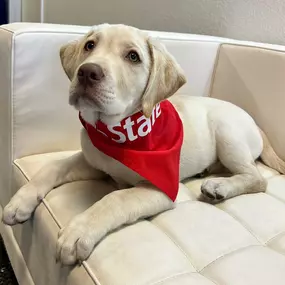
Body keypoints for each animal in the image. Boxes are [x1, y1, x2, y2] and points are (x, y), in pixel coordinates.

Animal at [2, 23, 284, 264]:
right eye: (90, 45)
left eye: (133, 57)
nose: (87, 72)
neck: (117, 131)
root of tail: (255, 122)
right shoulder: (92, 160)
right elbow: (53, 167)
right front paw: (20, 201)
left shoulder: (161, 188)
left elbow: (116, 198)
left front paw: (78, 231)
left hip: (227, 133)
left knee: (257, 178)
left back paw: (219, 185)